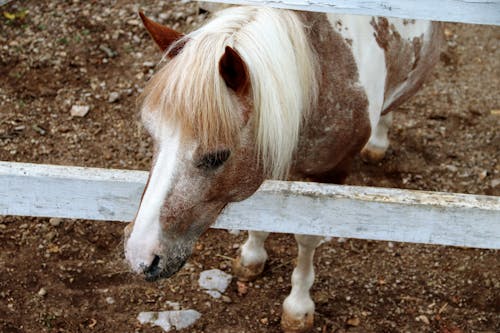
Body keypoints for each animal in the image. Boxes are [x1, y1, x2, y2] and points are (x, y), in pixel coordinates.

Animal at [124, 5, 442, 332]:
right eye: (152, 134)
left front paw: (298, 307)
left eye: (217, 156)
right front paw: (252, 257)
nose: (140, 255)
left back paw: (378, 141)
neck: (321, 78)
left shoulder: (329, 176)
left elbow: (306, 238)